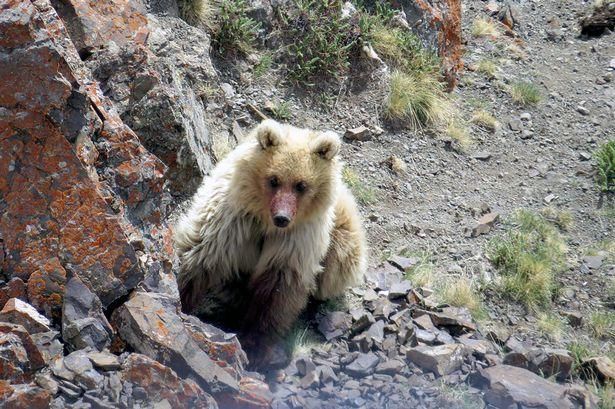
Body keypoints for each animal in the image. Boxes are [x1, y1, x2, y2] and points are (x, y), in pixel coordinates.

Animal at [173, 117, 366, 360]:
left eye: (301, 185)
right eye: (274, 180)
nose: (282, 217)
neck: (265, 222)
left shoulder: (296, 240)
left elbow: (277, 287)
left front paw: (255, 342)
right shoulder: (233, 220)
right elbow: (202, 253)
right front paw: (181, 298)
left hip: (344, 233)